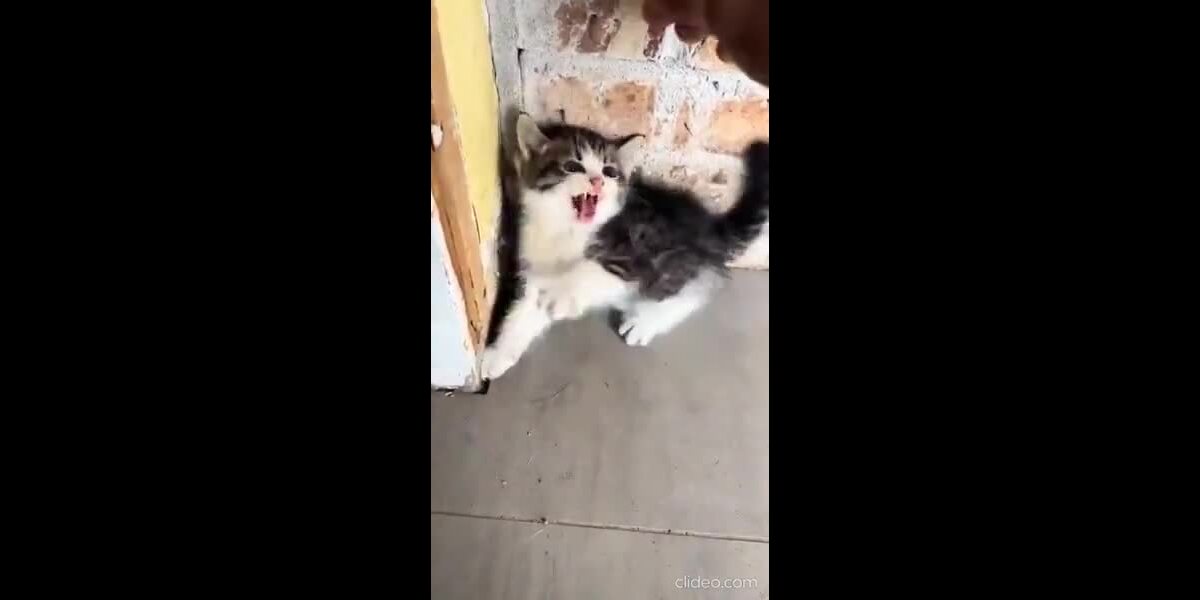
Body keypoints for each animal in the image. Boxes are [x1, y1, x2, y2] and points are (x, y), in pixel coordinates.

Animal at [479, 114, 769, 380]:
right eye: (572, 166)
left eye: (610, 171)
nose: (597, 181)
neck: (565, 230)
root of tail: (706, 223)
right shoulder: (535, 267)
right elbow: (522, 311)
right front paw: (499, 353)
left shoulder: (636, 254)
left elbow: (593, 270)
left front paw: (561, 292)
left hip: (670, 255)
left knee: (699, 284)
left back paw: (646, 321)